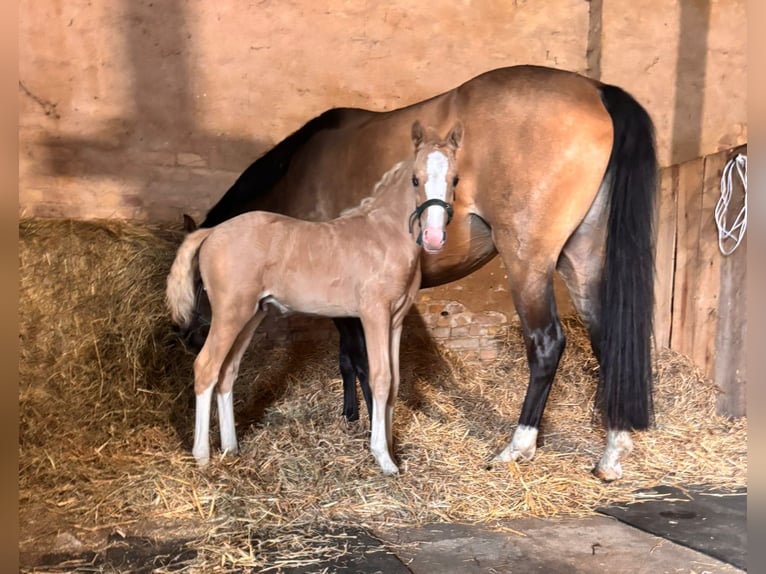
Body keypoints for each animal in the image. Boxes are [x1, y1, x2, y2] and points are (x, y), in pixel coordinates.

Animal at [166, 121, 463, 474]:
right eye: (415, 179)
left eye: (455, 179)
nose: (434, 238)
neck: (384, 237)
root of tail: (212, 232)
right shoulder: (373, 315)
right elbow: (379, 378)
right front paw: (383, 458)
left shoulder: (396, 320)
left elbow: (394, 382)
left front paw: (392, 449)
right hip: (229, 313)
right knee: (206, 367)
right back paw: (202, 456)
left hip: (252, 314)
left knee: (228, 372)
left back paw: (231, 448)